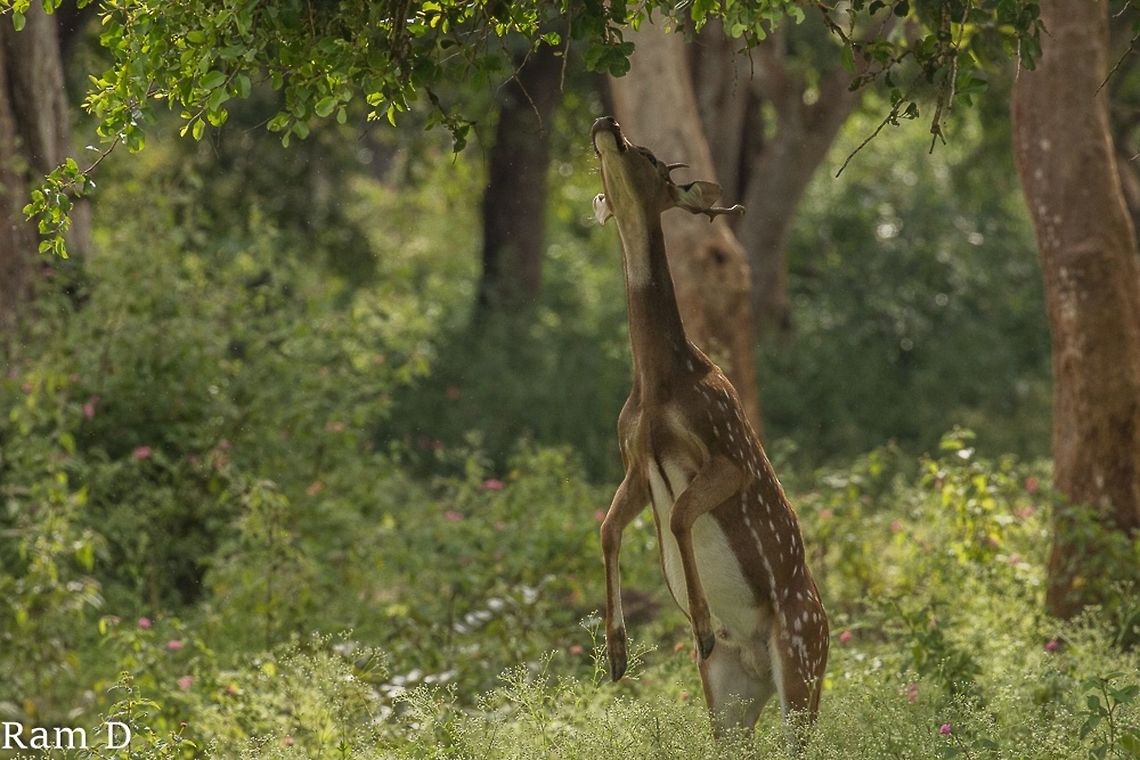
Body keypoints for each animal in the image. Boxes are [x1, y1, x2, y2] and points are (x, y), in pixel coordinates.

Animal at [591, 115, 829, 740]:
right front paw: (616, 652)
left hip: (803, 654)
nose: (606, 123)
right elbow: (608, 527)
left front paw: (698, 623)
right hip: (730, 693)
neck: (656, 391)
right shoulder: (633, 459)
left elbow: (678, 515)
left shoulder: (727, 449)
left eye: (650, 156)